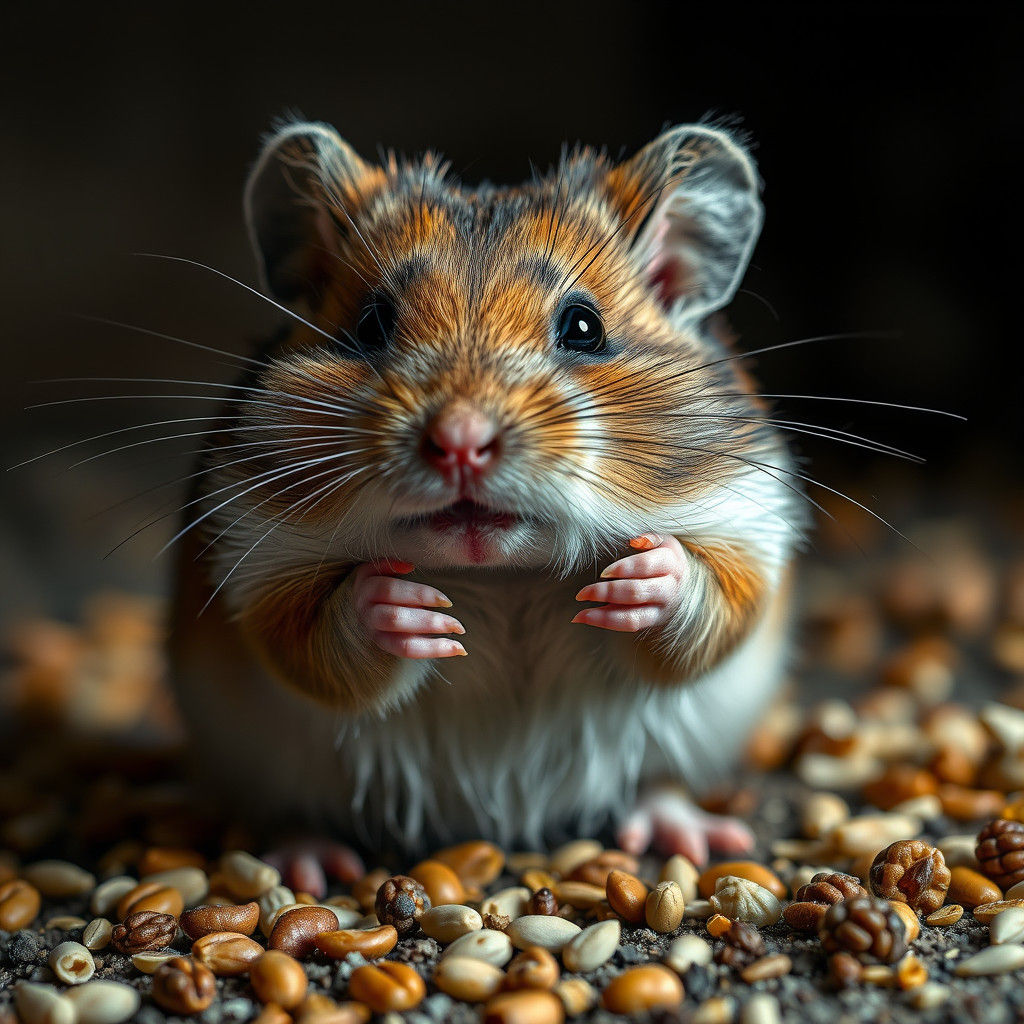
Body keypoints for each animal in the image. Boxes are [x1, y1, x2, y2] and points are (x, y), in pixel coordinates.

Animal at [169, 119, 802, 866]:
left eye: (584, 327)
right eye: (371, 326)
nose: (461, 441)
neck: (504, 575)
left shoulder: (748, 525)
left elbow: (716, 606)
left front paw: (639, 577)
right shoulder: (252, 557)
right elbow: (310, 633)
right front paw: (410, 608)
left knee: (659, 782)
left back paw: (692, 837)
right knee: (293, 810)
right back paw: (306, 861)